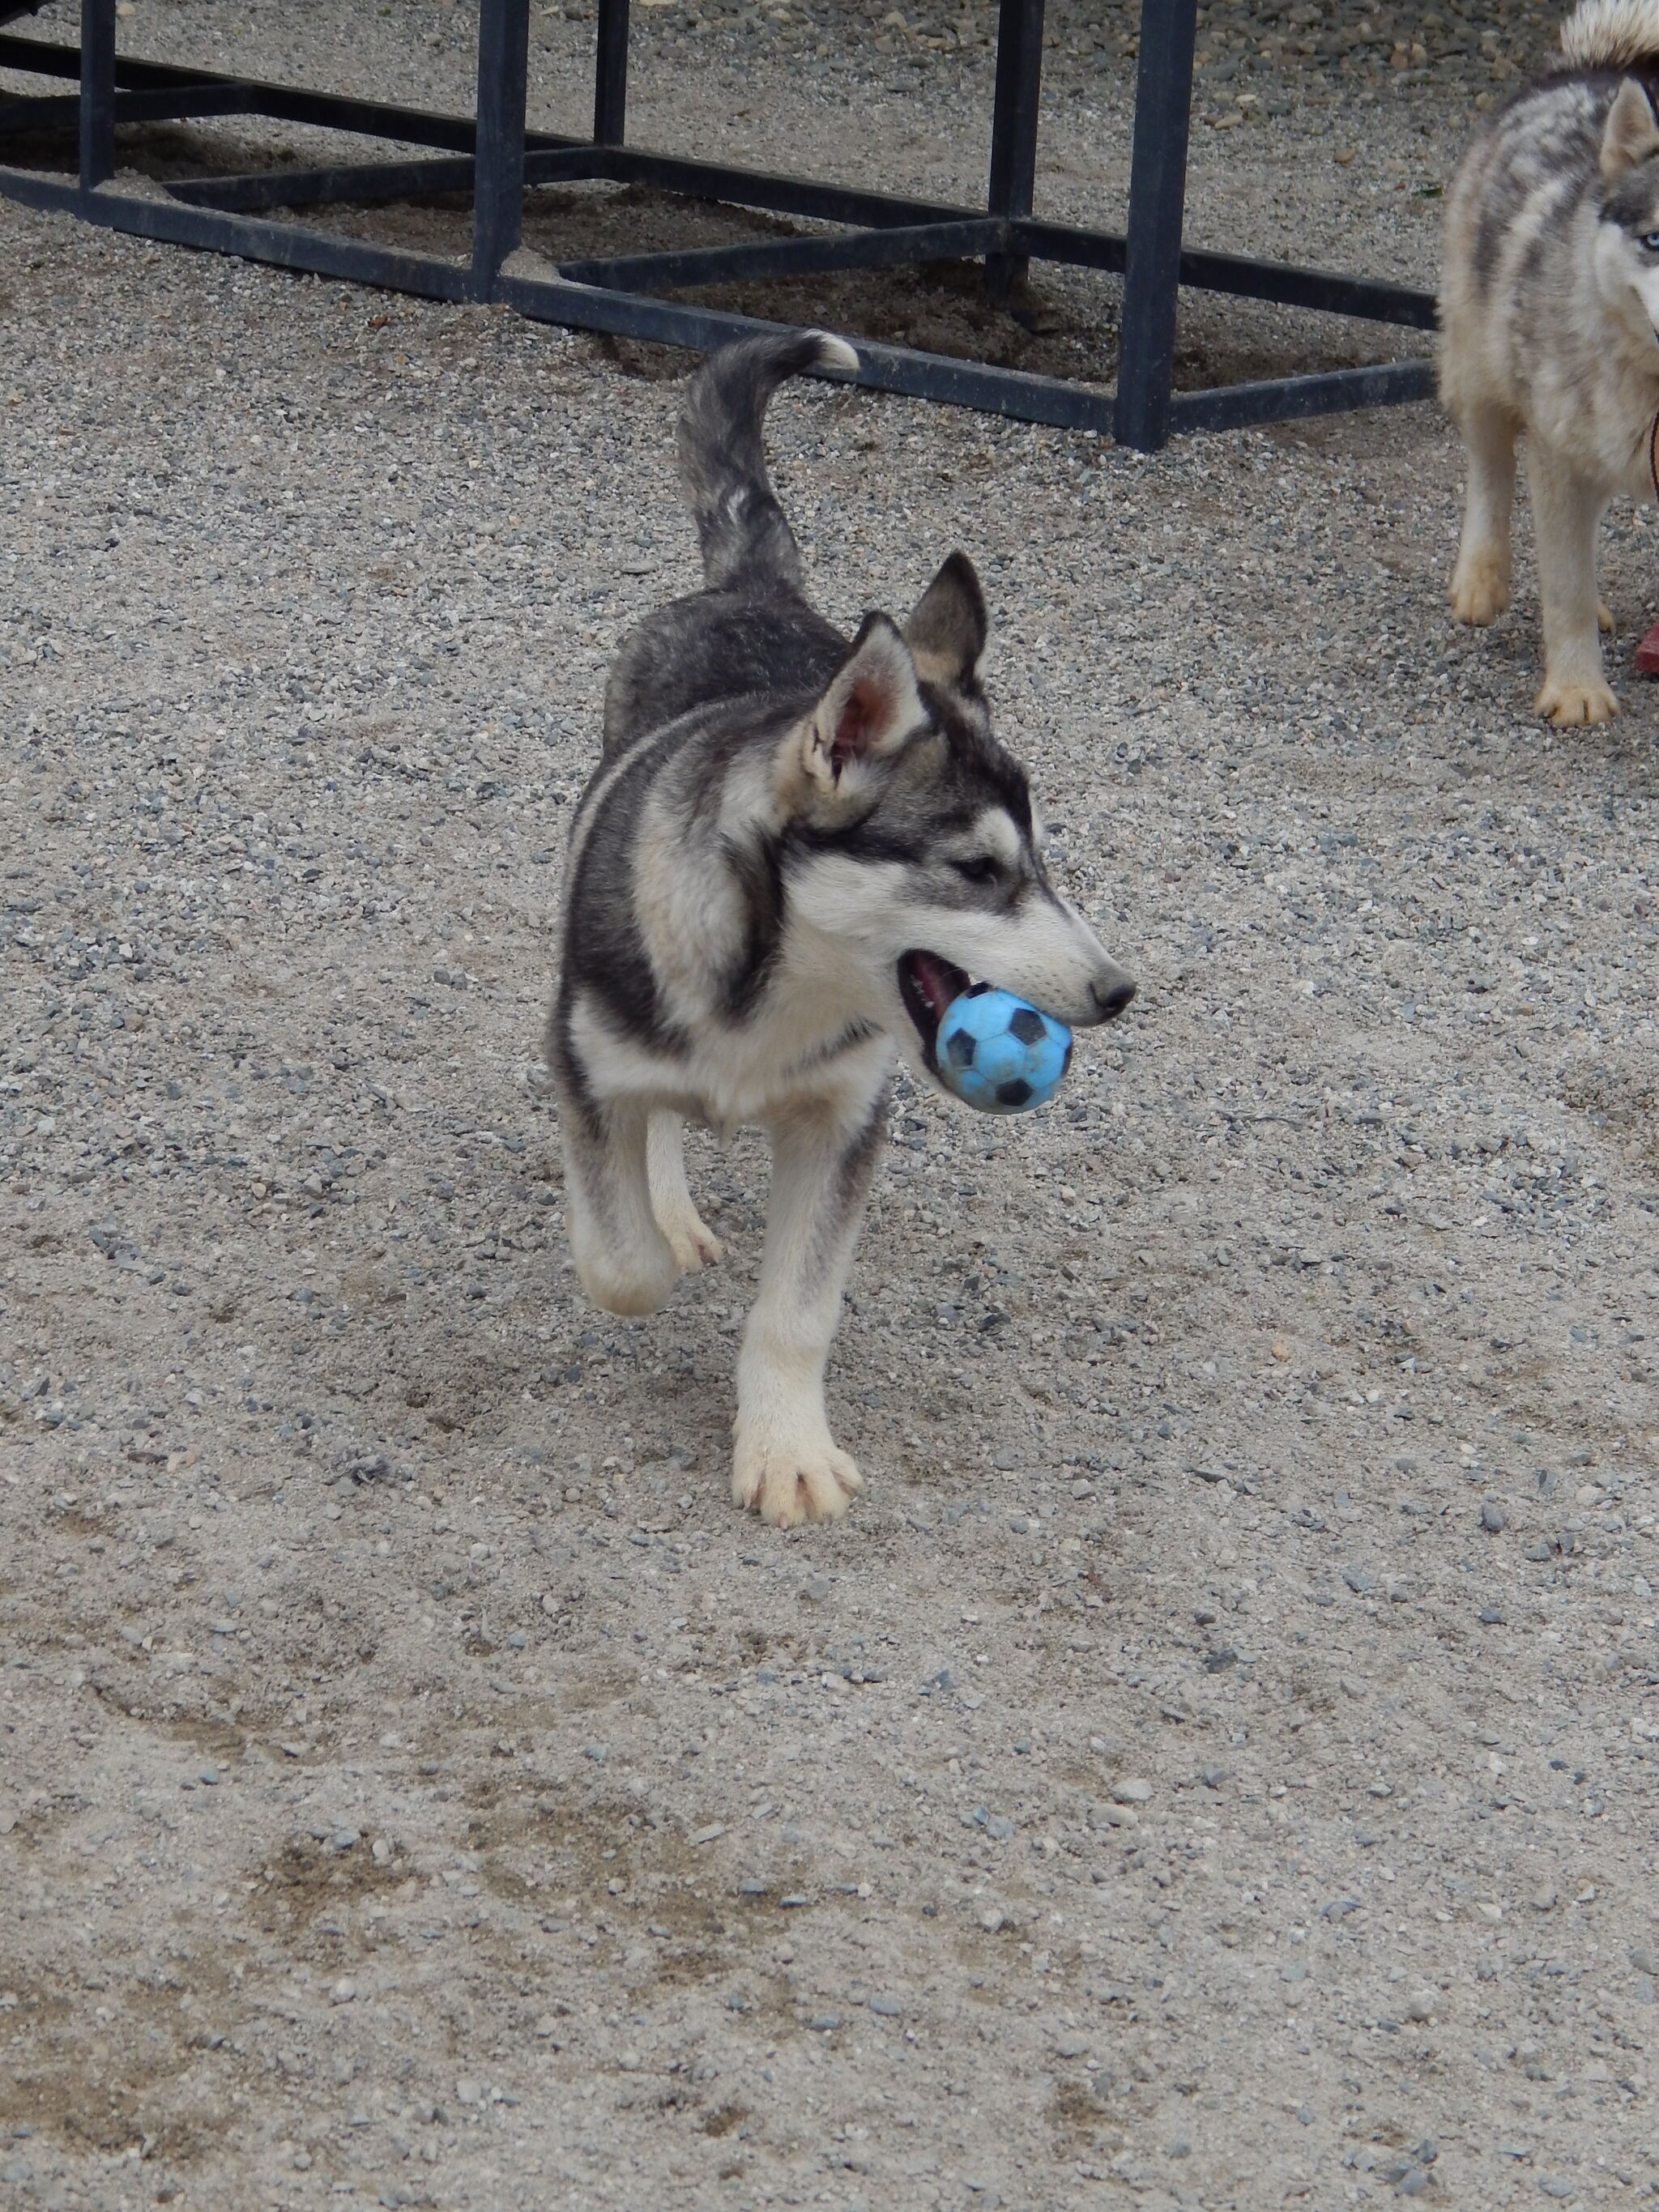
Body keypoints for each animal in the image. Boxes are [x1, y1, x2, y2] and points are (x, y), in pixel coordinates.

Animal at [552, 336, 1141, 1530]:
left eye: (1043, 862)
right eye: (978, 870)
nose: (1116, 991)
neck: (773, 987)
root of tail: (755, 589)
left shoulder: (844, 1121)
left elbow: (798, 1309)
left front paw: (786, 1447)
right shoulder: (585, 1065)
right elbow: (620, 1254)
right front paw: (646, 1238)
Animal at [1451, 0, 1659, 725]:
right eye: (1655, 240)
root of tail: (1593, 68)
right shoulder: (1557, 457)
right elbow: (1563, 582)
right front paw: (1576, 691)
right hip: (1482, 377)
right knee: (1490, 472)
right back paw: (1480, 581)